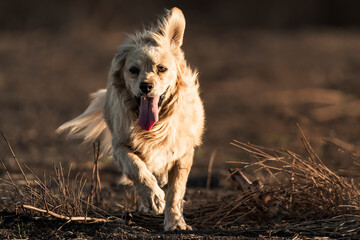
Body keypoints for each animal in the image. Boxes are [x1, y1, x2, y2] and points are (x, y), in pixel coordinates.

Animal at [57, 7, 204, 231]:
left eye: (161, 69)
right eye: (133, 70)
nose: (146, 86)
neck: (156, 127)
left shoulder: (183, 153)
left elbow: (176, 190)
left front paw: (175, 222)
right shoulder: (120, 146)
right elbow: (137, 169)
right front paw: (153, 198)